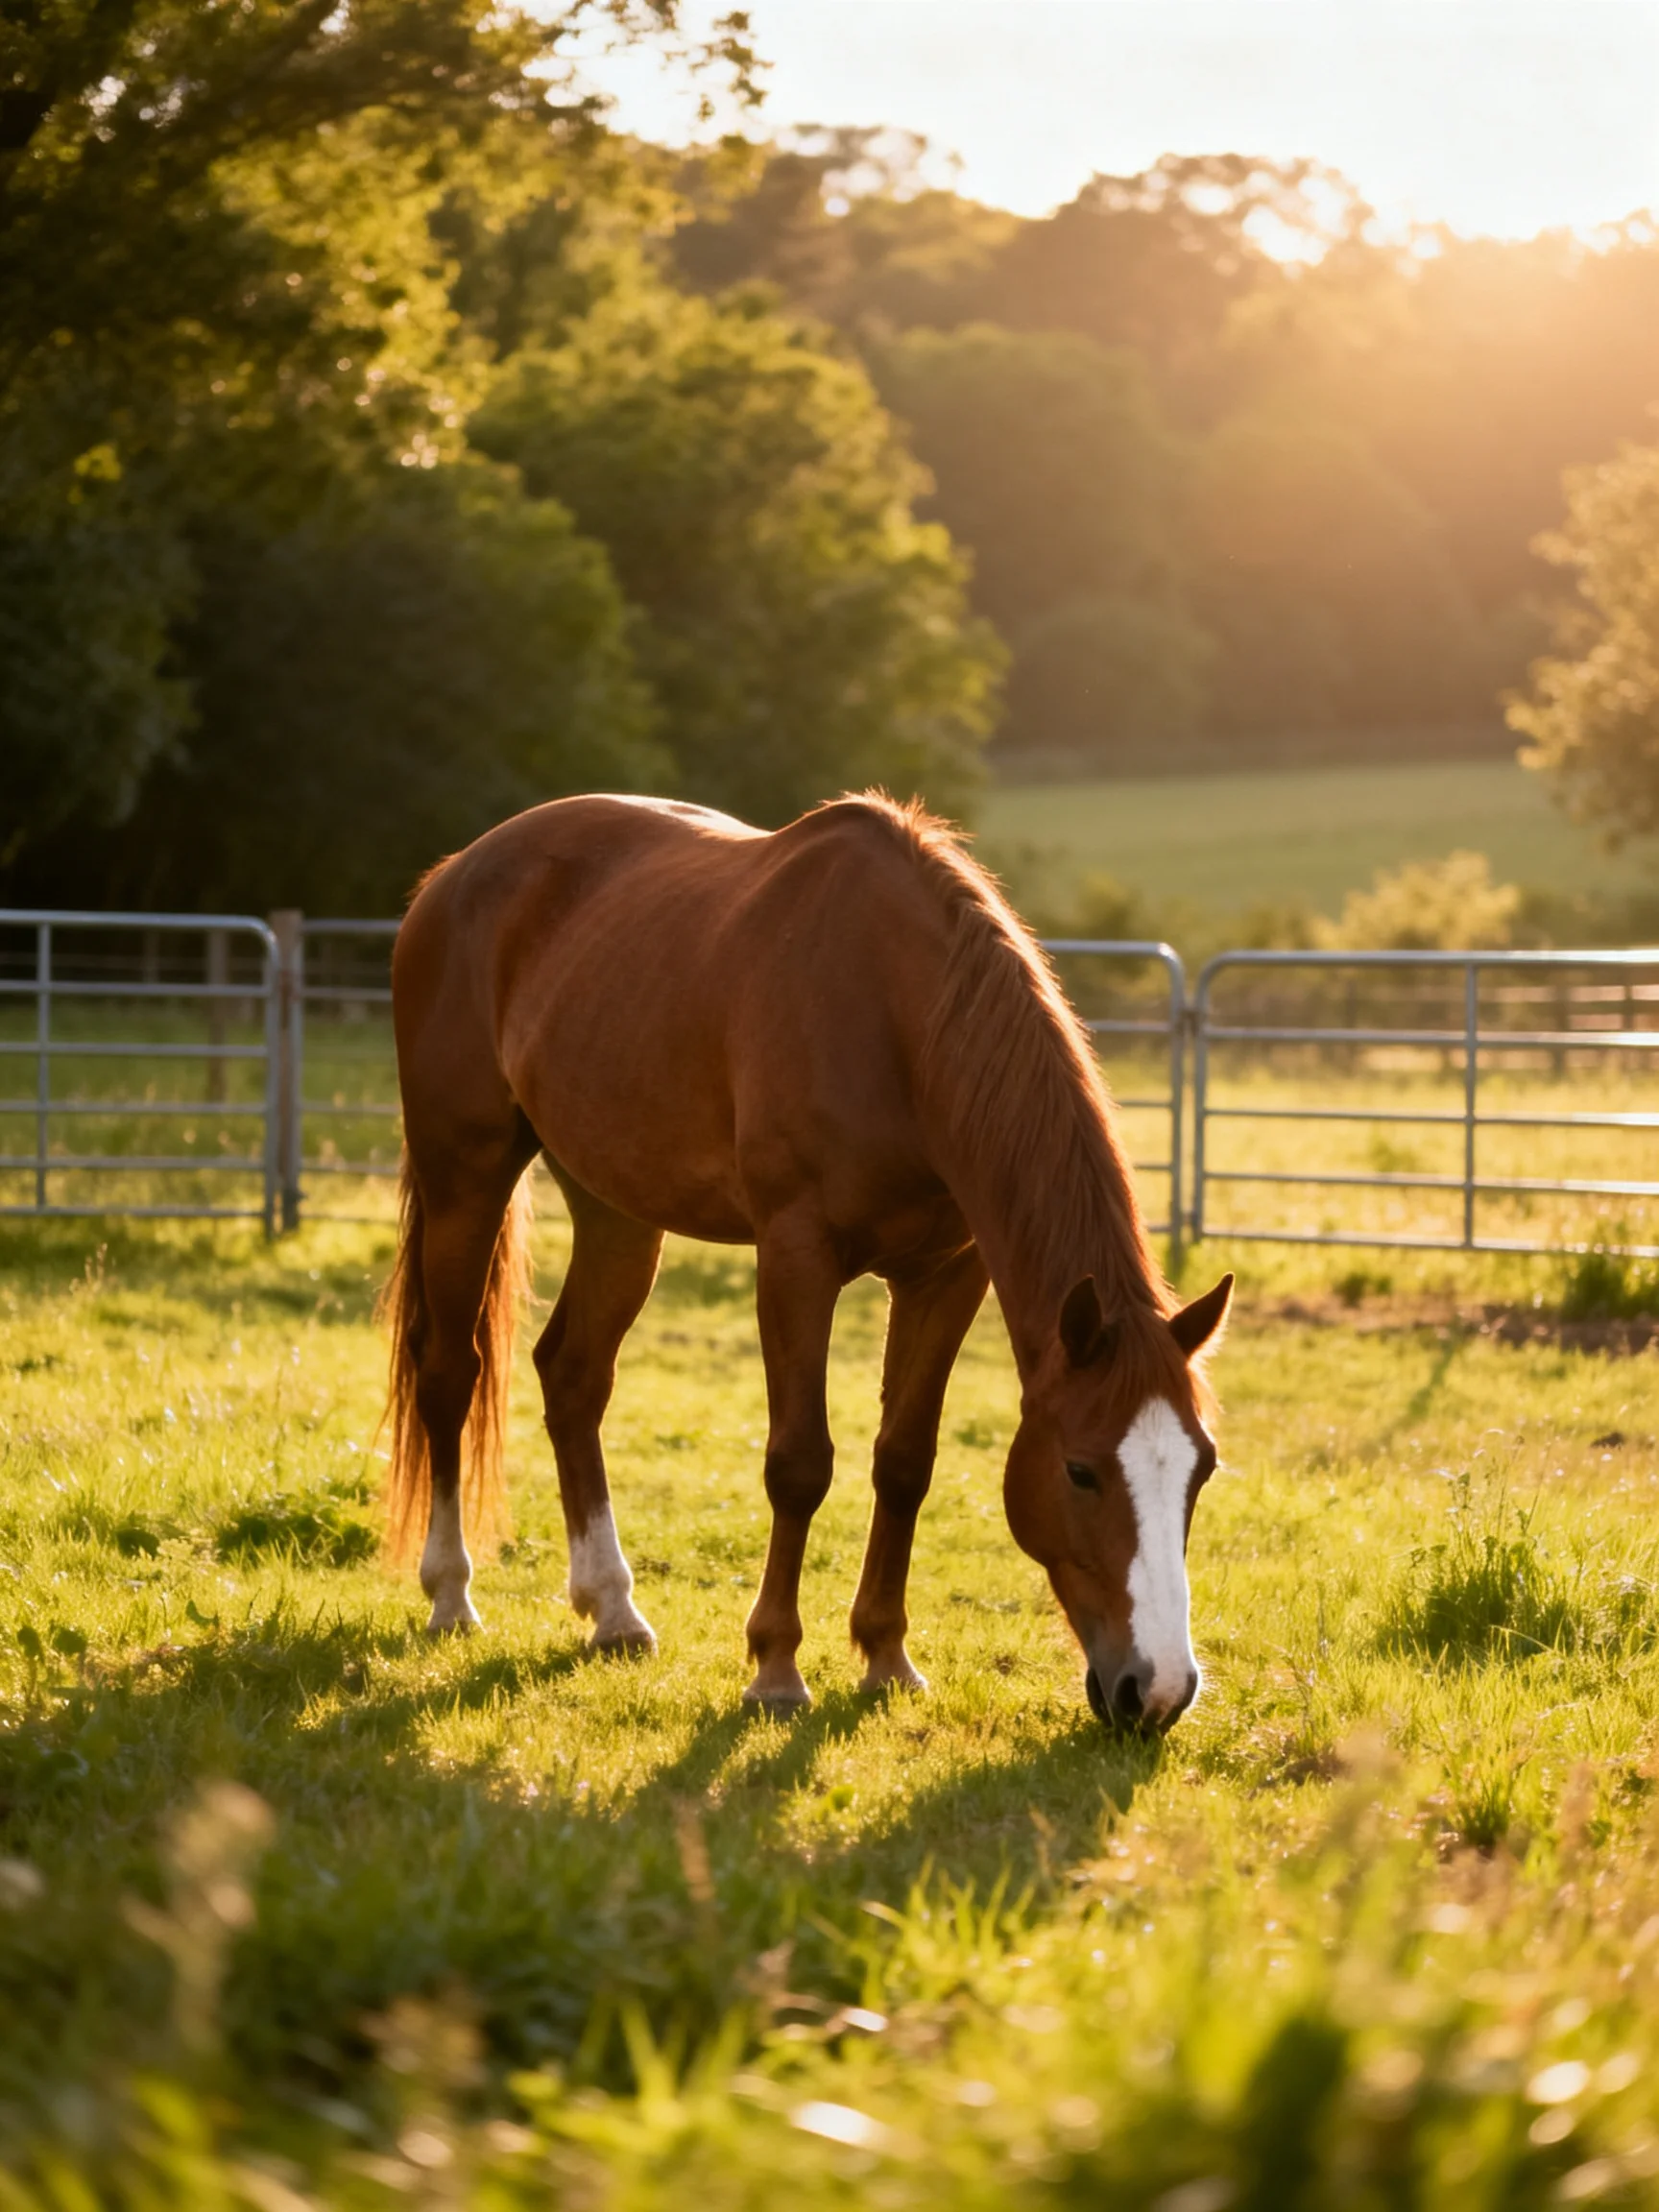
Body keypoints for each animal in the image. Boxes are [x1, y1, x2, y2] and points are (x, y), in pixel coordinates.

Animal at [381, 791, 1232, 1732]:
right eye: (1081, 1471)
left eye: (1201, 1467)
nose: (1157, 1692)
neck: (898, 1017)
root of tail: (451, 877)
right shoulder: (796, 1257)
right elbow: (799, 1463)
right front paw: (776, 1668)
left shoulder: (946, 1274)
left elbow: (904, 1461)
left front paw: (887, 1658)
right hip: (466, 1176)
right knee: (450, 1371)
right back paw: (451, 1594)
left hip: (617, 1212)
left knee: (573, 1375)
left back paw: (613, 1609)